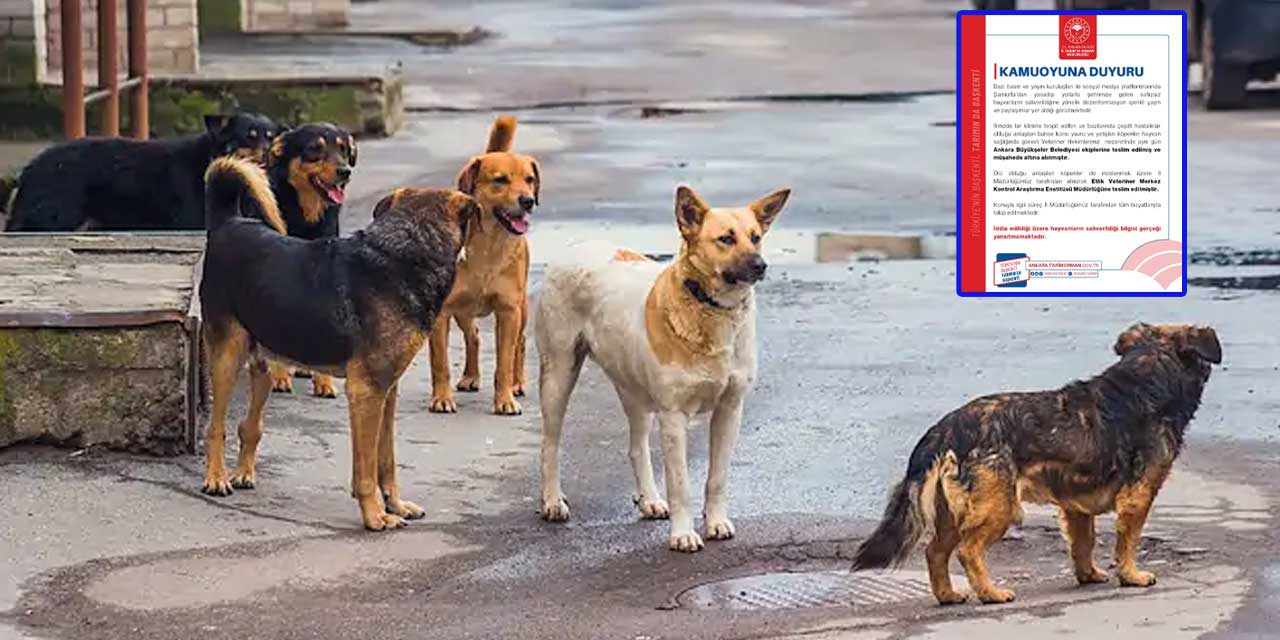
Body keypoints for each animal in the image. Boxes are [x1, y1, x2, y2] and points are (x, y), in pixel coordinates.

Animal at [259, 121, 358, 396]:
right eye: (315, 148)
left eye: (343, 149)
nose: (345, 172)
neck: (305, 215)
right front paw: (279, 376)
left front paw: (323, 382)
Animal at [424, 114, 535, 414]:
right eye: (500, 180)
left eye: (530, 179)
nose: (528, 200)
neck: (489, 245)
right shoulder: (441, 313)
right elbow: (440, 363)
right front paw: (442, 398)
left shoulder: (508, 311)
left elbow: (504, 362)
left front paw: (505, 399)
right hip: (463, 310)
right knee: (473, 335)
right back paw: (470, 376)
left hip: (521, 308)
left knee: (520, 343)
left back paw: (518, 383)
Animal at [532, 184, 788, 550]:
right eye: (726, 239)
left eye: (756, 237)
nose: (761, 265)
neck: (710, 309)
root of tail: (577, 246)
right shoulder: (674, 416)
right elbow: (680, 484)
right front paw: (683, 534)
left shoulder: (730, 410)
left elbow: (717, 478)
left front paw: (716, 522)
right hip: (558, 375)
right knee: (550, 444)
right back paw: (552, 500)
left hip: (634, 389)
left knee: (636, 447)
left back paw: (649, 499)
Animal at [849, 322, 1218, 606]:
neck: (1147, 377)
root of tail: (946, 428)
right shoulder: (1137, 496)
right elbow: (1127, 542)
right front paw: (1131, 575)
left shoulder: (1075, 507)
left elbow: (1083, 544)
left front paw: (1088, 575)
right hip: (998, 507)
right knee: (968, 552)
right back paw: (991, 594)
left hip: (953, 512)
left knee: (935, 552)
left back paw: (948, 596)